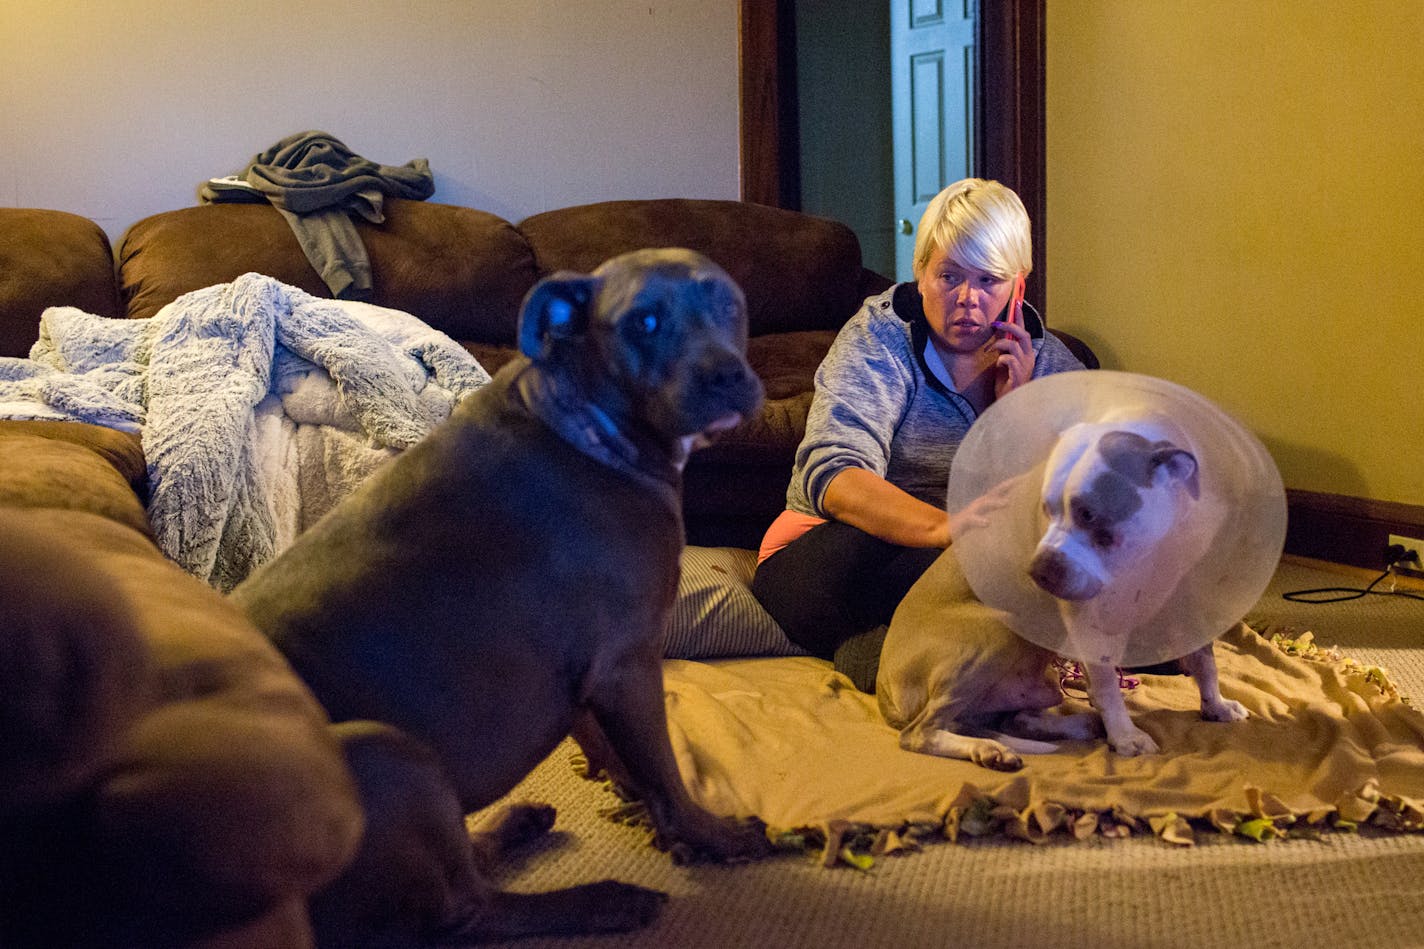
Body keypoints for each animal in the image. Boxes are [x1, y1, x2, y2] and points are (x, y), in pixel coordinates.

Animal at [233, 247, 768, 940]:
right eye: (642, 323)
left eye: (727, 303)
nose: (726, 377)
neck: (586, 422)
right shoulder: (627, 662)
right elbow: (666, 775)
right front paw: (715, 837)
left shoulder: (587, 677)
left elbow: (615, 751)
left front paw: (639, 803)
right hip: (385, 754)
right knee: (468, 913)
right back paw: (602, 901)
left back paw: (516, 826)